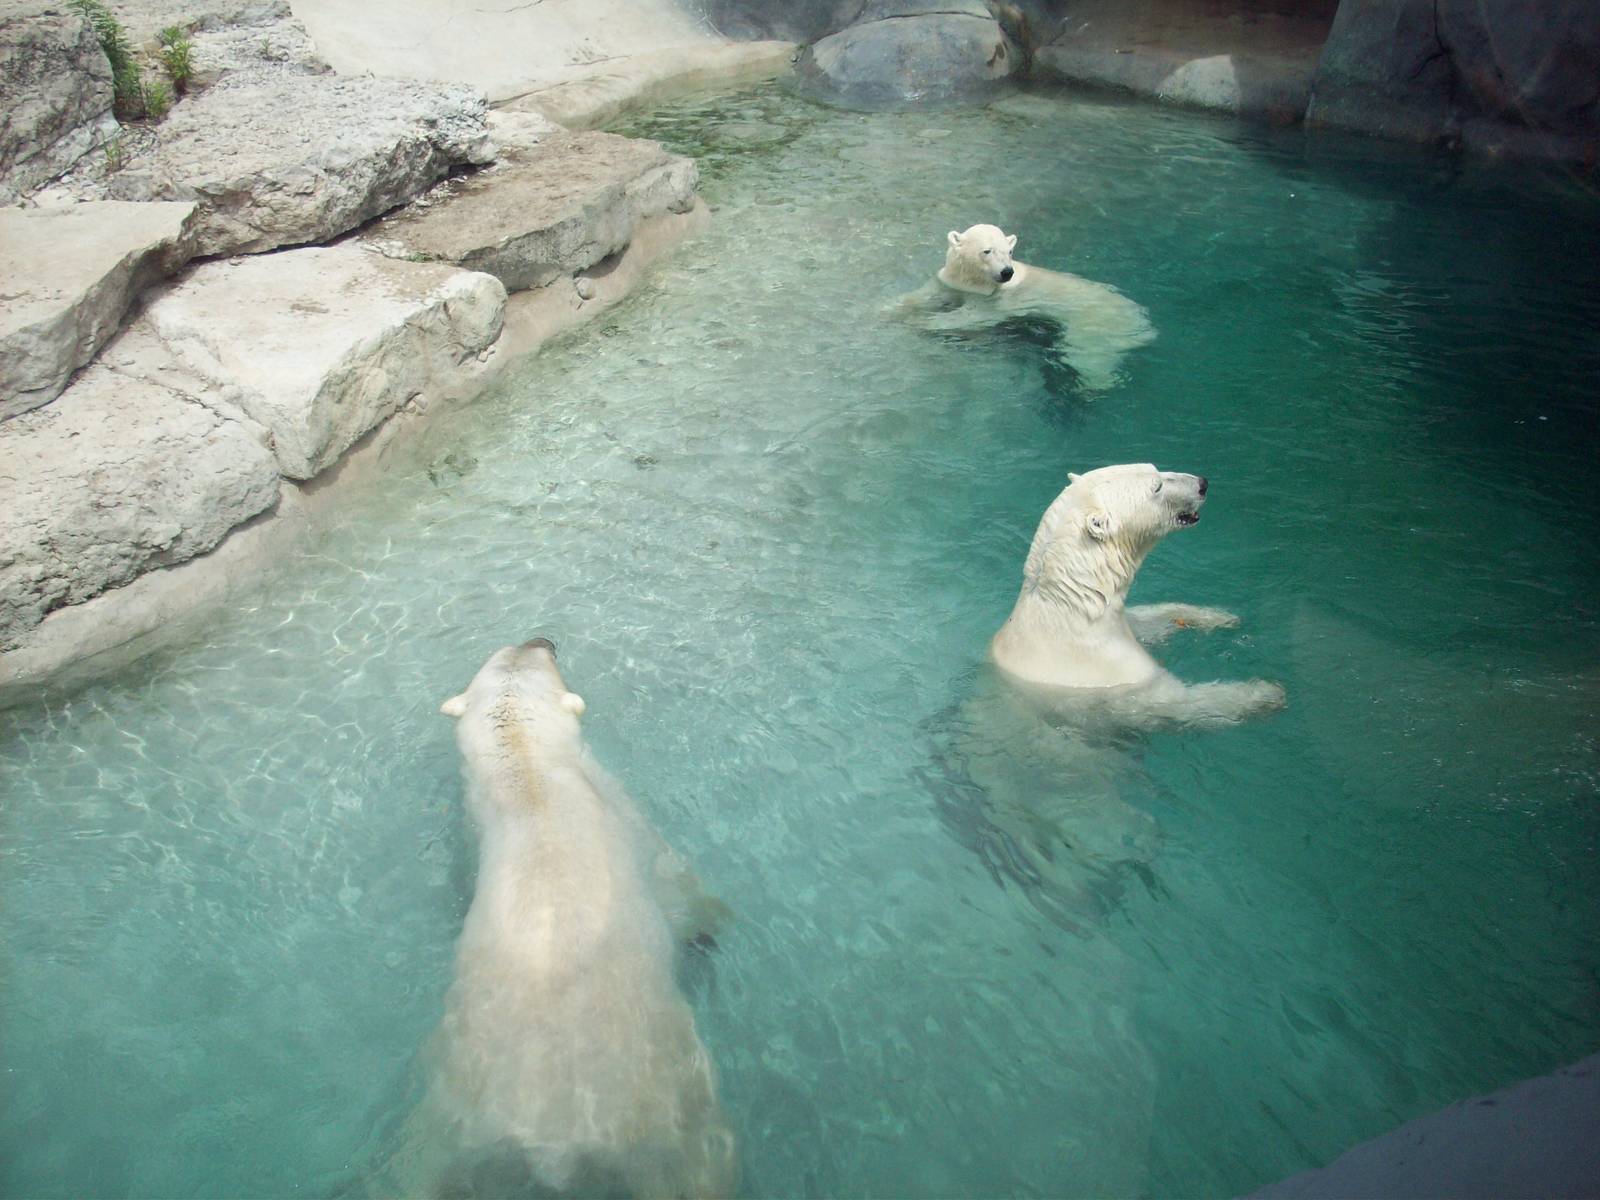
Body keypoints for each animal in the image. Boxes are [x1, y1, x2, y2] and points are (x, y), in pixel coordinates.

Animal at [383, 638, 736, 1199]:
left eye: (511, 652)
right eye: (544, 659)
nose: (543, 638)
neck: (529, 777)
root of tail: (552, 1135)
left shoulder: (474, 825)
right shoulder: (623, 811)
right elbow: (678, 885)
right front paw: (709, 929)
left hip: (447, 1112)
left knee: (415, 1169)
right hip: (668, 1106)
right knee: (702, 1162)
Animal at [890, 223, 1156, 392]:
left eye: (1009, 251)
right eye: (987, 250)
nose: (1006, 272)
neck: (975, 282)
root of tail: (1145, 325)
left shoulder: (995, 299)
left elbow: (973, 316)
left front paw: (922, 322)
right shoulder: (950, 283)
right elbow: (922, 295)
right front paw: (891, 310)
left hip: (1095, 326)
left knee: (1089, 359)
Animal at [990, 463, 1285, 726]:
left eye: (1157, 469)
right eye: (1157, 487)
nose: (1202, 483)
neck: (1072, 603)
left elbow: (1148, 621)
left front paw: (1217, 616)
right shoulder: (1112, 672)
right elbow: (1180, 701)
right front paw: (1267, 692)